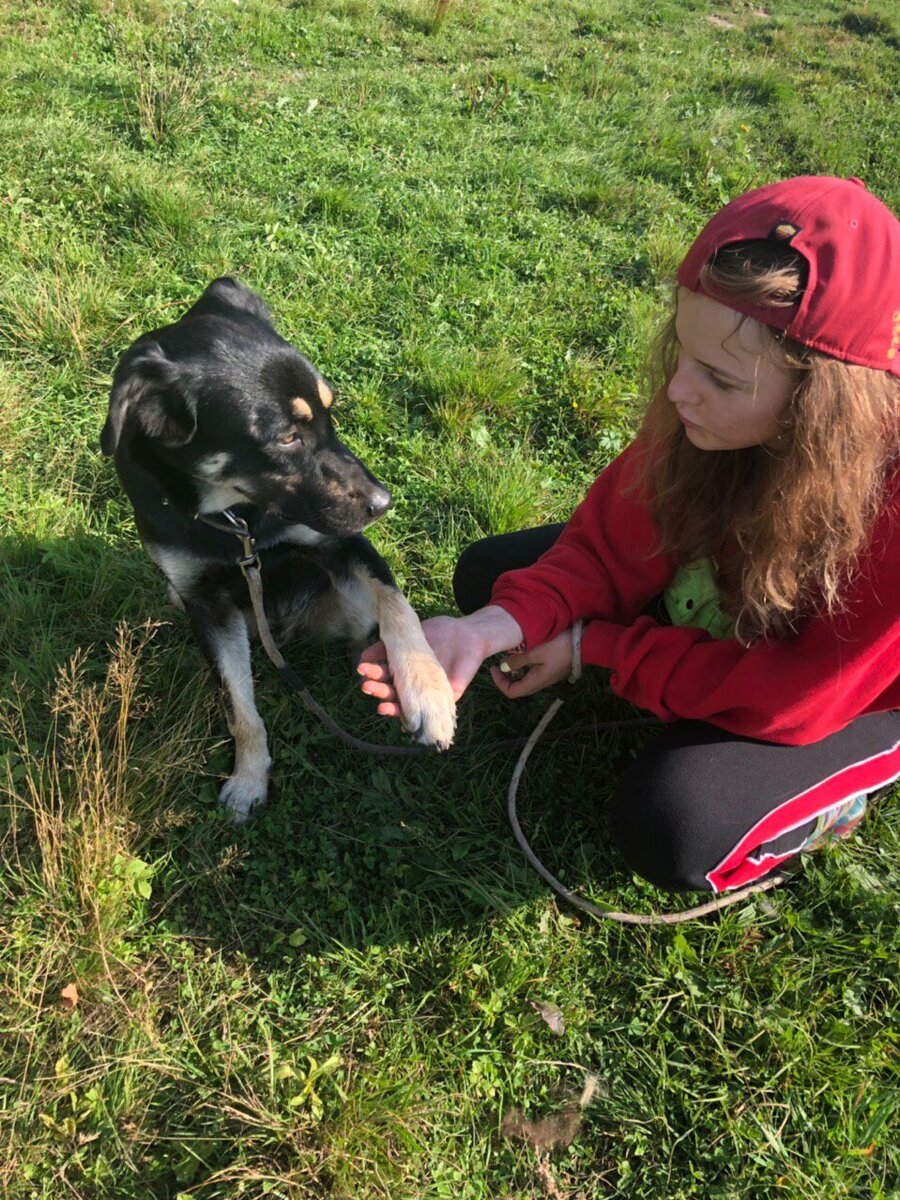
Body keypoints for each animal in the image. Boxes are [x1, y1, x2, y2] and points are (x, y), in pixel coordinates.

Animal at [103, 278, 458, 825]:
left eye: (331, 413)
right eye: (287, 437)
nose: (383, 504)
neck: (236, 520)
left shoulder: (341, 543)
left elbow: (398, 607)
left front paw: (430, 696)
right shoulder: (206, 604)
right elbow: (239, 708)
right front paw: (249, 779)